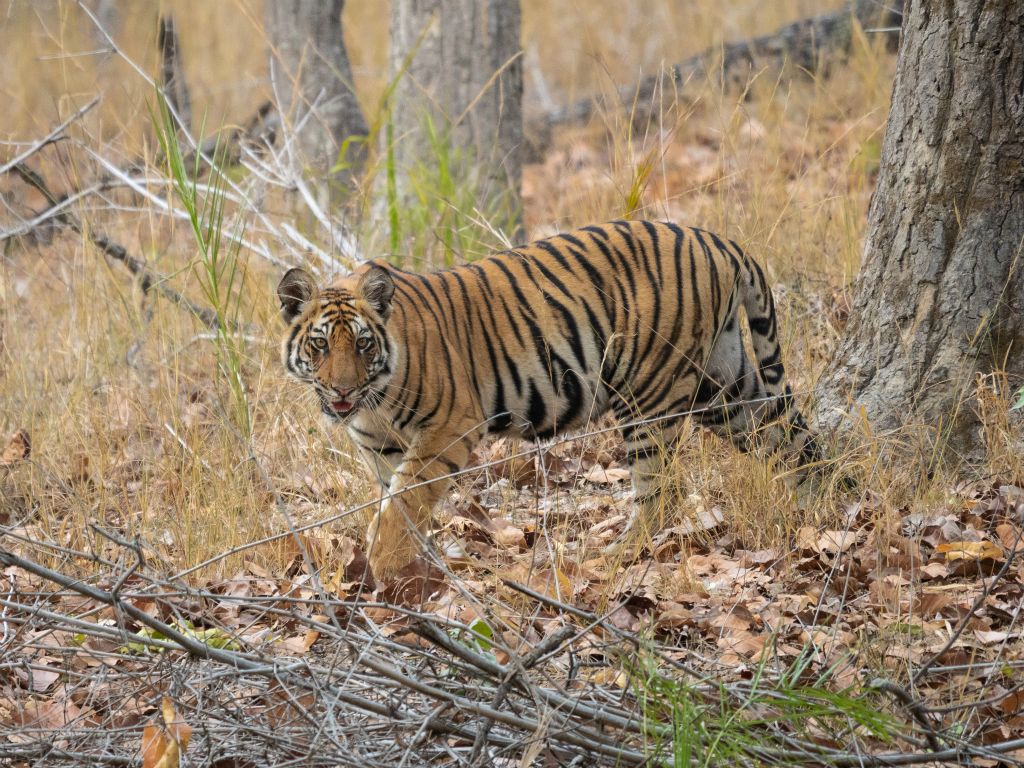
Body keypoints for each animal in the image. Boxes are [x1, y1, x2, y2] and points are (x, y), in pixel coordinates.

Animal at [280, 219, 823, 581]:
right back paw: (820, 509)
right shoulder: (382, 447)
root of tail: (717, 241)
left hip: (649, 392)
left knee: (660, 493)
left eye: (362, 344)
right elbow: (397, 503)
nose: (342, 390)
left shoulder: (448, 428)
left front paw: (378, 570)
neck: (373, 400)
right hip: (725, 386)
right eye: (321, 344)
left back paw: (613, 558)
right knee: (790, 435)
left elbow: (404, 503)